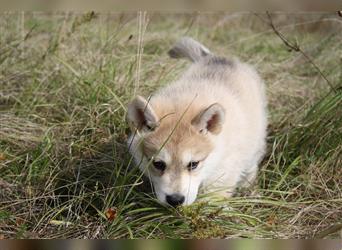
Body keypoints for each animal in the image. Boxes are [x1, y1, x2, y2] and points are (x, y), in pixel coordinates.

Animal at [125, 36, 268, 205]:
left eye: (193, 164)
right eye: (158, 164)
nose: (175, 200)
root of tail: (215, 57)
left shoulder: (223, 173)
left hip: (254, 143)